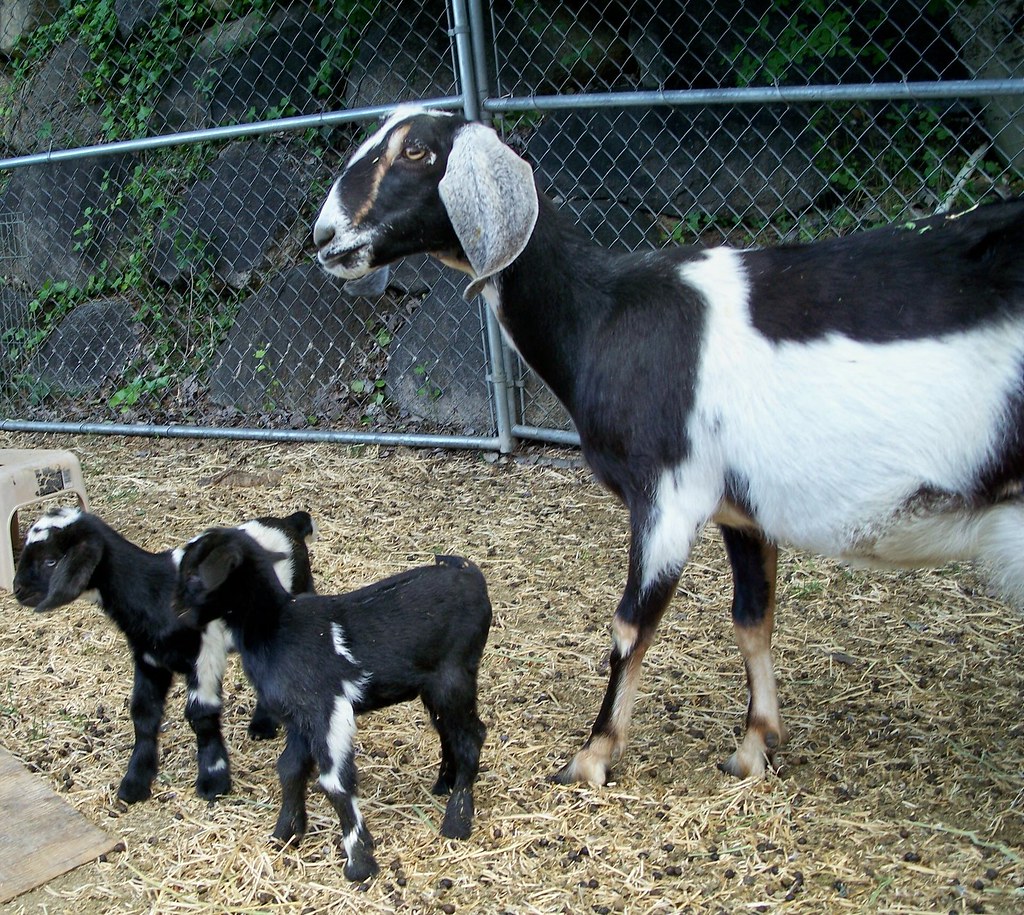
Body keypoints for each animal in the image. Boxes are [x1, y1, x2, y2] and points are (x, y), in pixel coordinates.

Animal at [13, 507, 316, 803]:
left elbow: (201, 715)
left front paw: (213, 780)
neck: (155, 590)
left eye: (50, 561)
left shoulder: (204, 655)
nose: (18, 591)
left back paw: (262, 726)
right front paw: (135, 781)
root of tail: (289, 523)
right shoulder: (149, 660)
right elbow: (144, 714)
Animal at [175, 526, 491, 882]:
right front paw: (285, 833)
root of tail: (473, 577)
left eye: (194, 575)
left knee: (471, 737)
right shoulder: (299, 717)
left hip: (454, 675)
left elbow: (335, 782)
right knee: (449, 732)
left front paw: (360, 863)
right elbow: (290, 769)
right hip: (433, 686)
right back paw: (443, 785)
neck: (276, 625)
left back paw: (457, 822)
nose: (177, 618)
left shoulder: (326, 707)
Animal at [312, 106, 1024, 787]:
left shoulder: (668, 493)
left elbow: (631, 624)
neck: (605, 314)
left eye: (416, 150)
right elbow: (752, 616)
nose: (323, 237)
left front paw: (592, 757)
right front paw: (754, 747)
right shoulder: (743, 508)